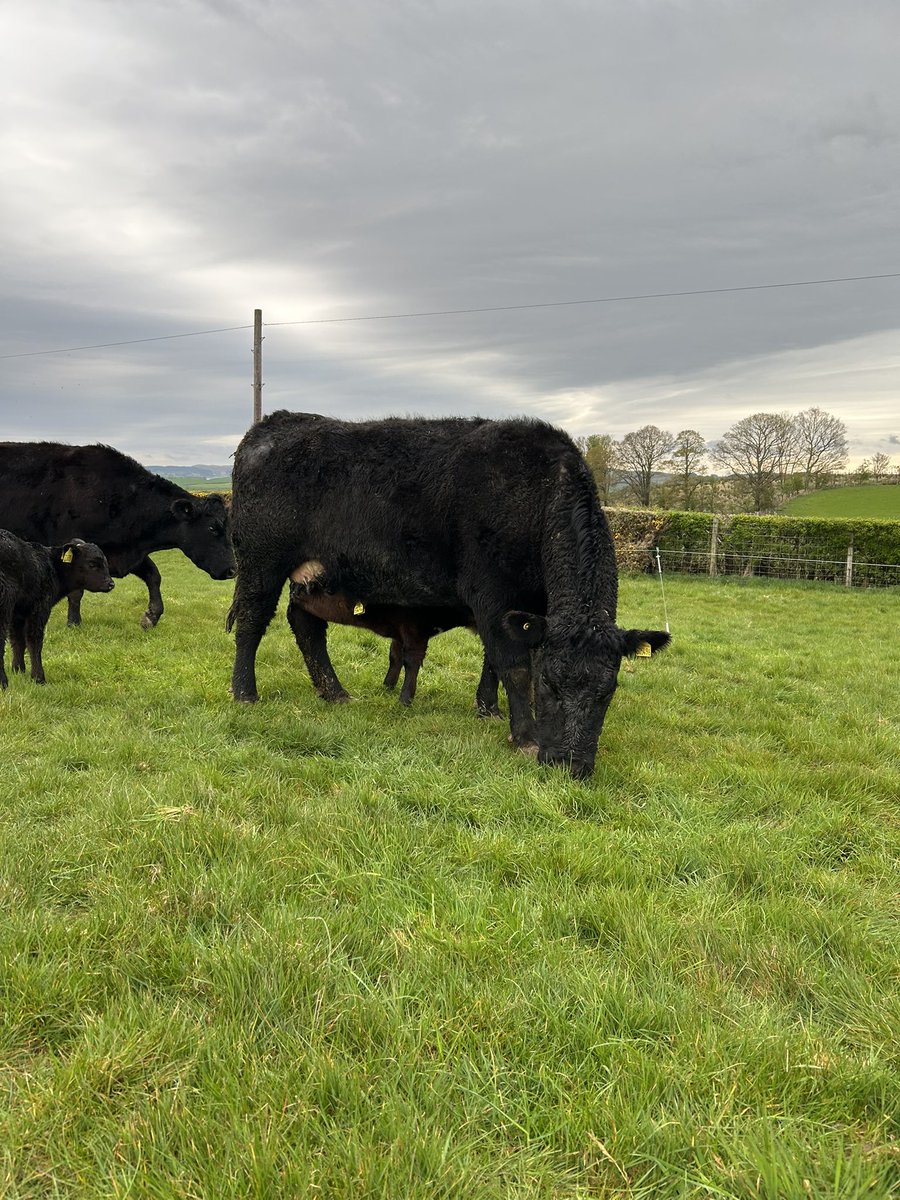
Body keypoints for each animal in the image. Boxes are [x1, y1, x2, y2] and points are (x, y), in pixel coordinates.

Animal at [0, 442, 235, 628]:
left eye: (229, 528)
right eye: (212, 528)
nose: (233, 570)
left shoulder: (129, 554)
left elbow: (154, 575)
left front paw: (152, 616)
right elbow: (76, 591)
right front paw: (74, 623)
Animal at [0, 531, 114, 688]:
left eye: (105, 563)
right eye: (92, 564)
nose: (111, 584)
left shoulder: (18, 612)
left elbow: (17, 641)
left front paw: (18, 670)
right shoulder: (39, 607)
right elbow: (34, 640)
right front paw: (39, 678)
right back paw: (3, 683)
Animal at [228, 411, 670, 779]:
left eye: (608, 691)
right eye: (550, 684)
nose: (569, 765)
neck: (538, 492)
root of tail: (276, 422)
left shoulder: (524, 610)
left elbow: (495, 661)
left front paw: (488, 709)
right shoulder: (492, 592)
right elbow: (513, 666)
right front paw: (525, 736)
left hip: (312, 574)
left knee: (306, 625)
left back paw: (334, 693)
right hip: (260, 562)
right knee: (251, 622)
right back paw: (245, 694)